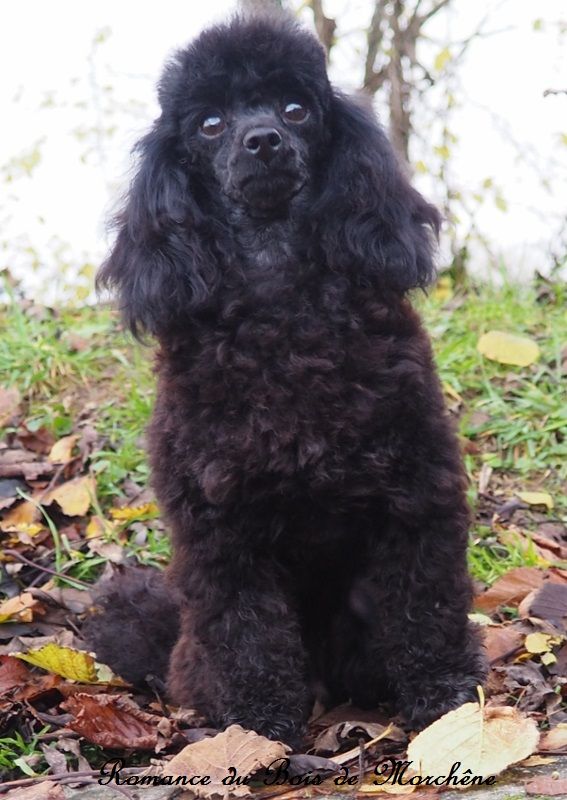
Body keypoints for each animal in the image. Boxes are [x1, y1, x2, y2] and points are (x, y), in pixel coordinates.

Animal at [86, 10, 486, 752]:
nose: (263, 140)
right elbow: (249, 632)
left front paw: (447, 703)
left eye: (297, 109)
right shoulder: (221, 526)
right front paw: (259, 731)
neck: (279, 298)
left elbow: (427, 604)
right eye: (209, 123)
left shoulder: (415, 493)